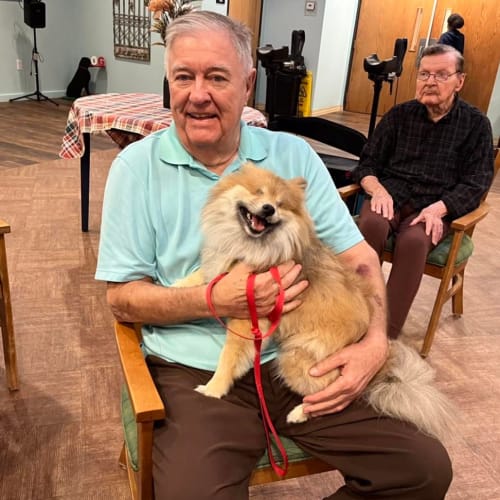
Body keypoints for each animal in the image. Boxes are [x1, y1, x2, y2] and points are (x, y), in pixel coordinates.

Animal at [179, 163, 454, 438]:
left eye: (279, 204)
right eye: (258, 192)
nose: (268, 209)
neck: (250, 244)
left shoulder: (247, 319)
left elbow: (228, 359)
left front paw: (213, 389)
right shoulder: (222, 267)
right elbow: (202, 278)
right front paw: (177, 285)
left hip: (297, 360)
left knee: (332, 394)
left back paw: (300, 413)